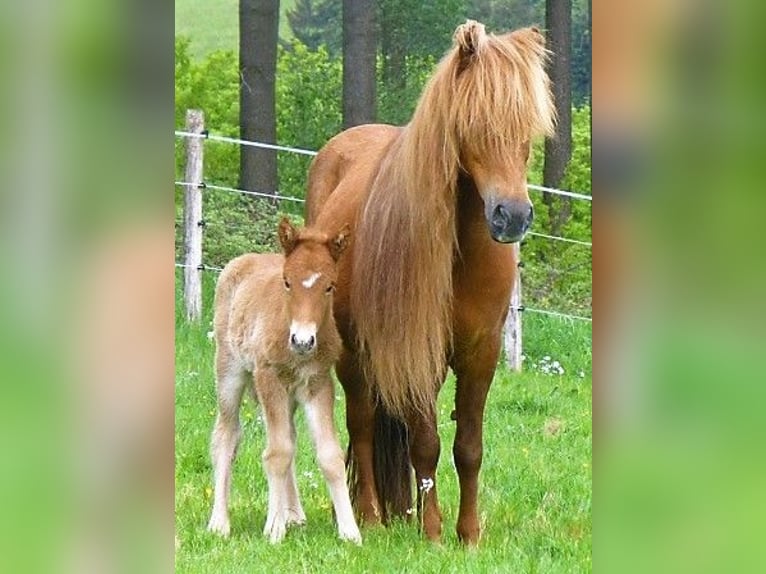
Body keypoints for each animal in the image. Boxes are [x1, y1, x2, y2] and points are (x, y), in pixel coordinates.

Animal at [304, 20, 556, 548]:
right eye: (474, 123)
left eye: (528, 130)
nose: (512, 216)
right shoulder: (420, 351)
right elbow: (426, 442)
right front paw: (435, 533)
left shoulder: (481, 353)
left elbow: (469, 447)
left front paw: (469, 534)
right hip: (355, 355)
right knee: (362, 423)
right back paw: (373, 516)